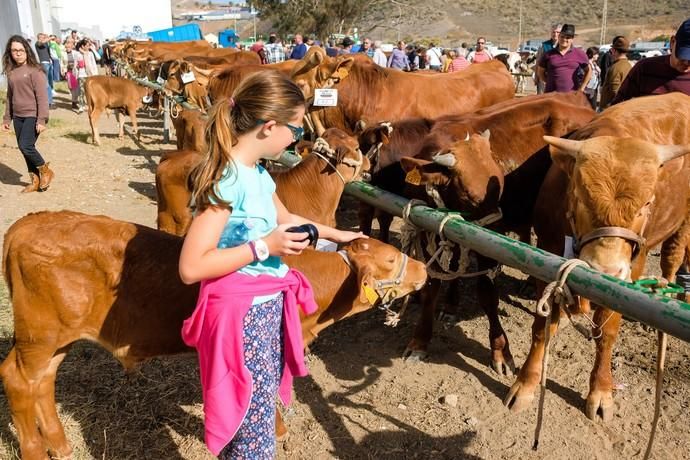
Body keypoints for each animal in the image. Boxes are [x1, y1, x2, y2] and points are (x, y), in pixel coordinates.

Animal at [388, 91, 592, 372]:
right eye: (470, 197)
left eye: (501, 187)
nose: (495, 232)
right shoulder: (426, 235)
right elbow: (431, 288)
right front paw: (420, 341)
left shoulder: (485, 247)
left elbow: (487, 294)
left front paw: (500, 351)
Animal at [502, 91, 688, 422]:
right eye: (578, 195)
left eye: (648, 203)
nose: (605, 269)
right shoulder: (547, 256)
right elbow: (541, 328)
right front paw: (525, 383)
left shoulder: (630, 270)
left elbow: (607, 332)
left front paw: (600, 390)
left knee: (672, 257)